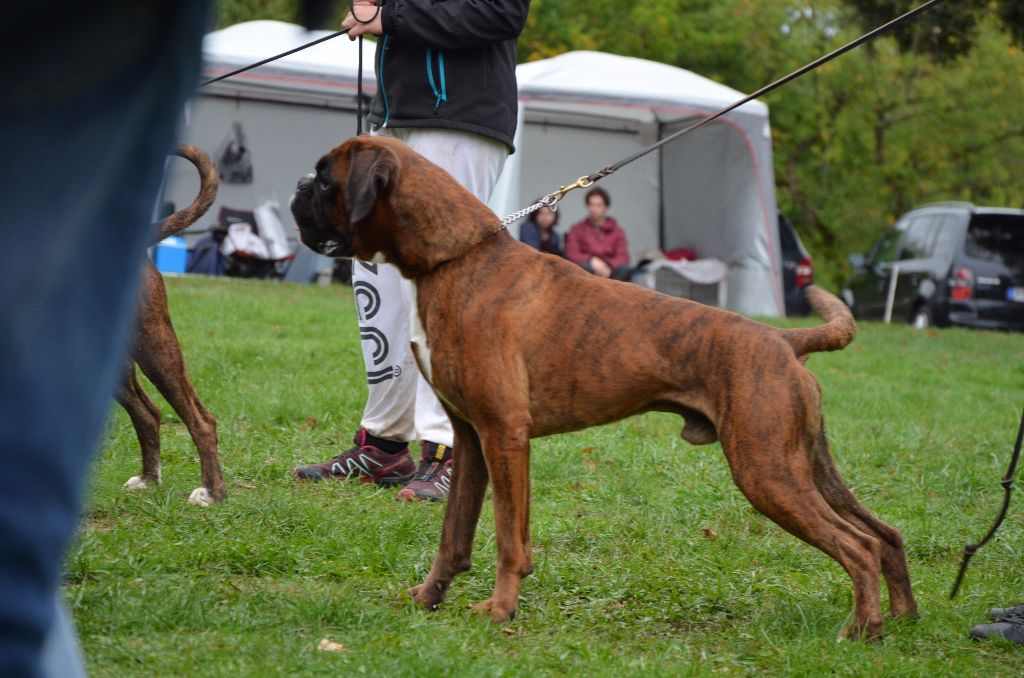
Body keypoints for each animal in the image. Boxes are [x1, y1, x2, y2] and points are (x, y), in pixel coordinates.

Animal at [290, 135, 921, 639]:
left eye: (325, 178)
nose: (296, 186)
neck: (456, 259)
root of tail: (783, 340)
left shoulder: (504, 436)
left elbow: (508, 538)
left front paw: (500, 610)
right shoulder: (471, 440)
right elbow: (455, 534)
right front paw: (428, 598)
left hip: (766, 471)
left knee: (858, 546)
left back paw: (862, 630)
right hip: (804, 465)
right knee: (884, 533)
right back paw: (903, 618)